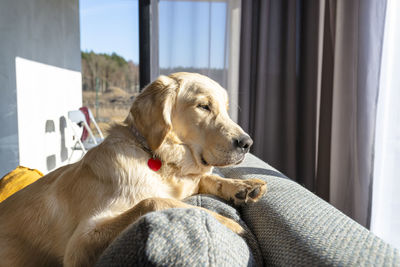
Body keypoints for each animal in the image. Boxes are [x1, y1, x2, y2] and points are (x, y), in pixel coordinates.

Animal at [0, 72, 268, 266]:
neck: (155, 156)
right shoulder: (81, 243)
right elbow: (153, 200)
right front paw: (229, 223)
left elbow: (205, 178)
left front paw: (243, 186)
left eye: (225, 108)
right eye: (203, 106)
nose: (247, 143)